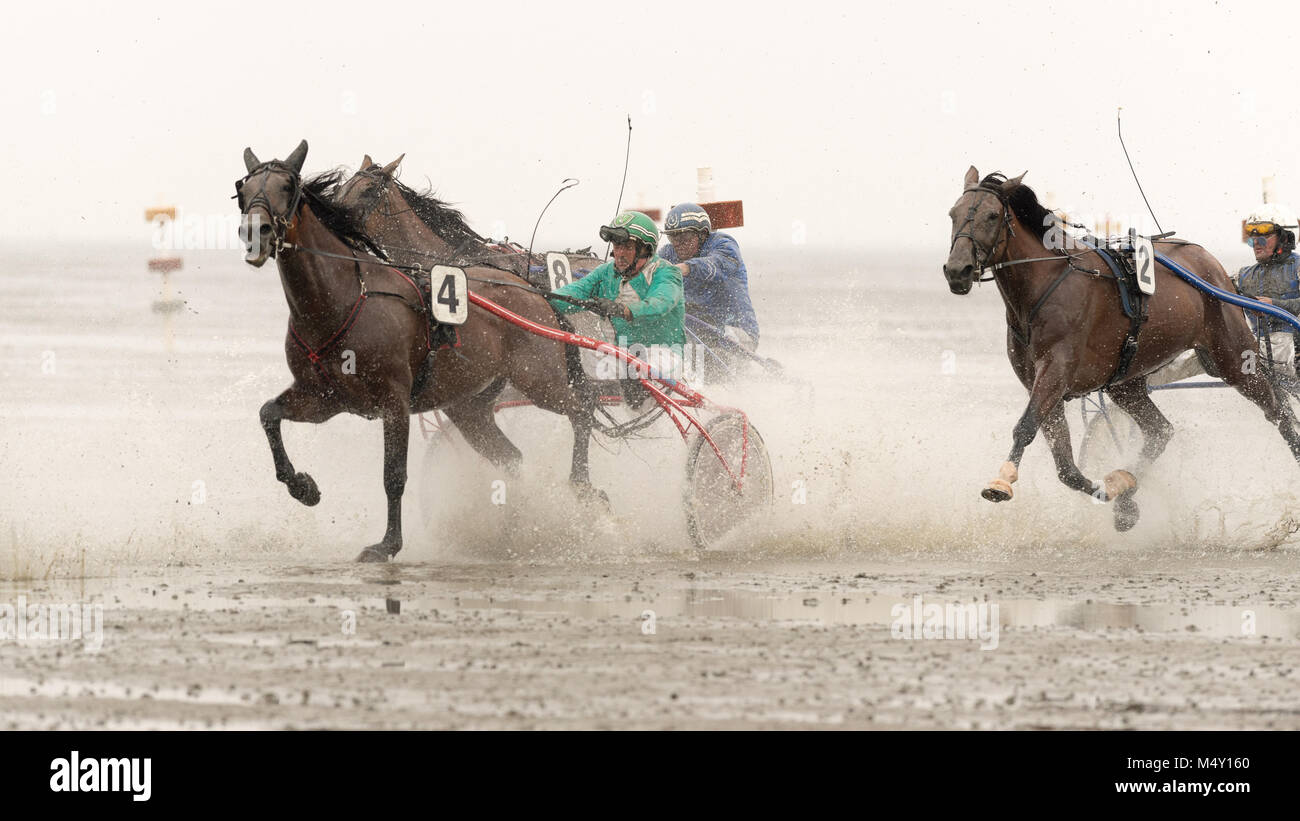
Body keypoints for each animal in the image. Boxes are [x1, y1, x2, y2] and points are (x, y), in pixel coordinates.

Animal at [236, 142, 600, 563]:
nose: (255, 232)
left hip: (539, 378)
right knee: (512, 458)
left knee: (582, 409)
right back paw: (512, 528)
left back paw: (583, 486)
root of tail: (534, 292)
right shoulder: (324, 397)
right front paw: (302, 486)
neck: (341, 300)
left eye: (287, 186)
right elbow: (269, 414)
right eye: (243, 191)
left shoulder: (394, 400)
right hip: (470, 406)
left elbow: (393, 475)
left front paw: (387, 544)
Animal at [941, 164, 1300, 532]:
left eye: (992, 215)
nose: (957, 271)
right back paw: (1127, 490)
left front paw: (1001, 482)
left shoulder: (1055, 371)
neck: (1045, 285)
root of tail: (1214, 268)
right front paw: (1117, 492)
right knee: (1160, 430)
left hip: (1234, 357)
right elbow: (1066, 466)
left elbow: (1026, 427)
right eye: (953, 214)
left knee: (1278, 411)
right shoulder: (1041, 384)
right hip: (1126, 381)